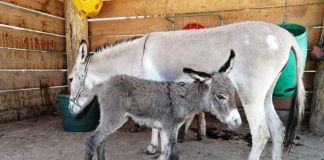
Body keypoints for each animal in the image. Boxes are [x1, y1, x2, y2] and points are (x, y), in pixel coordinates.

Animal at [83, 50, 240, 159]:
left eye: (233, 93)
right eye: (220, 96)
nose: (237, 121)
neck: (184, 99)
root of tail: (104, 84)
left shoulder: (167, 129)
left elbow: (165, 153)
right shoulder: (170, 127)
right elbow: (173, 154)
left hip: (113, 118)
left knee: (101, 141)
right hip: (114, 117)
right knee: (92, 141)